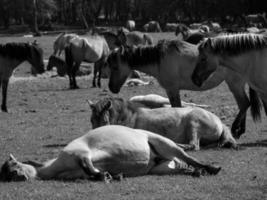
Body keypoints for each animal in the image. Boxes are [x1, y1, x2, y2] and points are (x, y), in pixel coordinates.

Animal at [0, 125, 222, 181]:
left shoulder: (82, 154)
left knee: (188, 158)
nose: (16, 175)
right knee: (182, 167)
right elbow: (91, 174)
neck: (56, 167)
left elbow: (90, 169)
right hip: (161, 168)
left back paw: (212, 168)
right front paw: (113, 175)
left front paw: (107, 176)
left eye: (14, 165)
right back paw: (197, 173)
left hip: (165, 144)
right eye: (6, 174)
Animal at [88, 97, 237, 150]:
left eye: (104, 121)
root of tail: (218, 121)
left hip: (193, 123)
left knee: (194, 145)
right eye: (92, 120)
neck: (128, 116)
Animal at [107, 40, 262, 138]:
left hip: (234, 84)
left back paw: (236, 129)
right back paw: (240, 130)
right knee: (244, 104)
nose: (111, 87)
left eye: (115, 67)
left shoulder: (172, 89)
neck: (159, 59)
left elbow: (176, 107)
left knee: (244, 103)